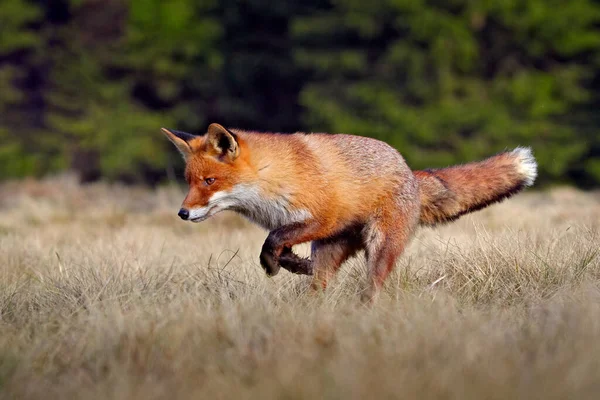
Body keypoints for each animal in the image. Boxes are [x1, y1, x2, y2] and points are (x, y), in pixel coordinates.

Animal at [162, 123, 536, 302]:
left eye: (210, 181)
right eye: (189, 181)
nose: (182, 213)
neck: (273, 179)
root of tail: (410, 172)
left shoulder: (322, 217)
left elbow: (271, 242)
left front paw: (276, 264)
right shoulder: (299, 227)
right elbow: (279, 247)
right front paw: (294, 265)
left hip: (379, 245)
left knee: (371, 289)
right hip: (333, 248)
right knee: (321, 283)